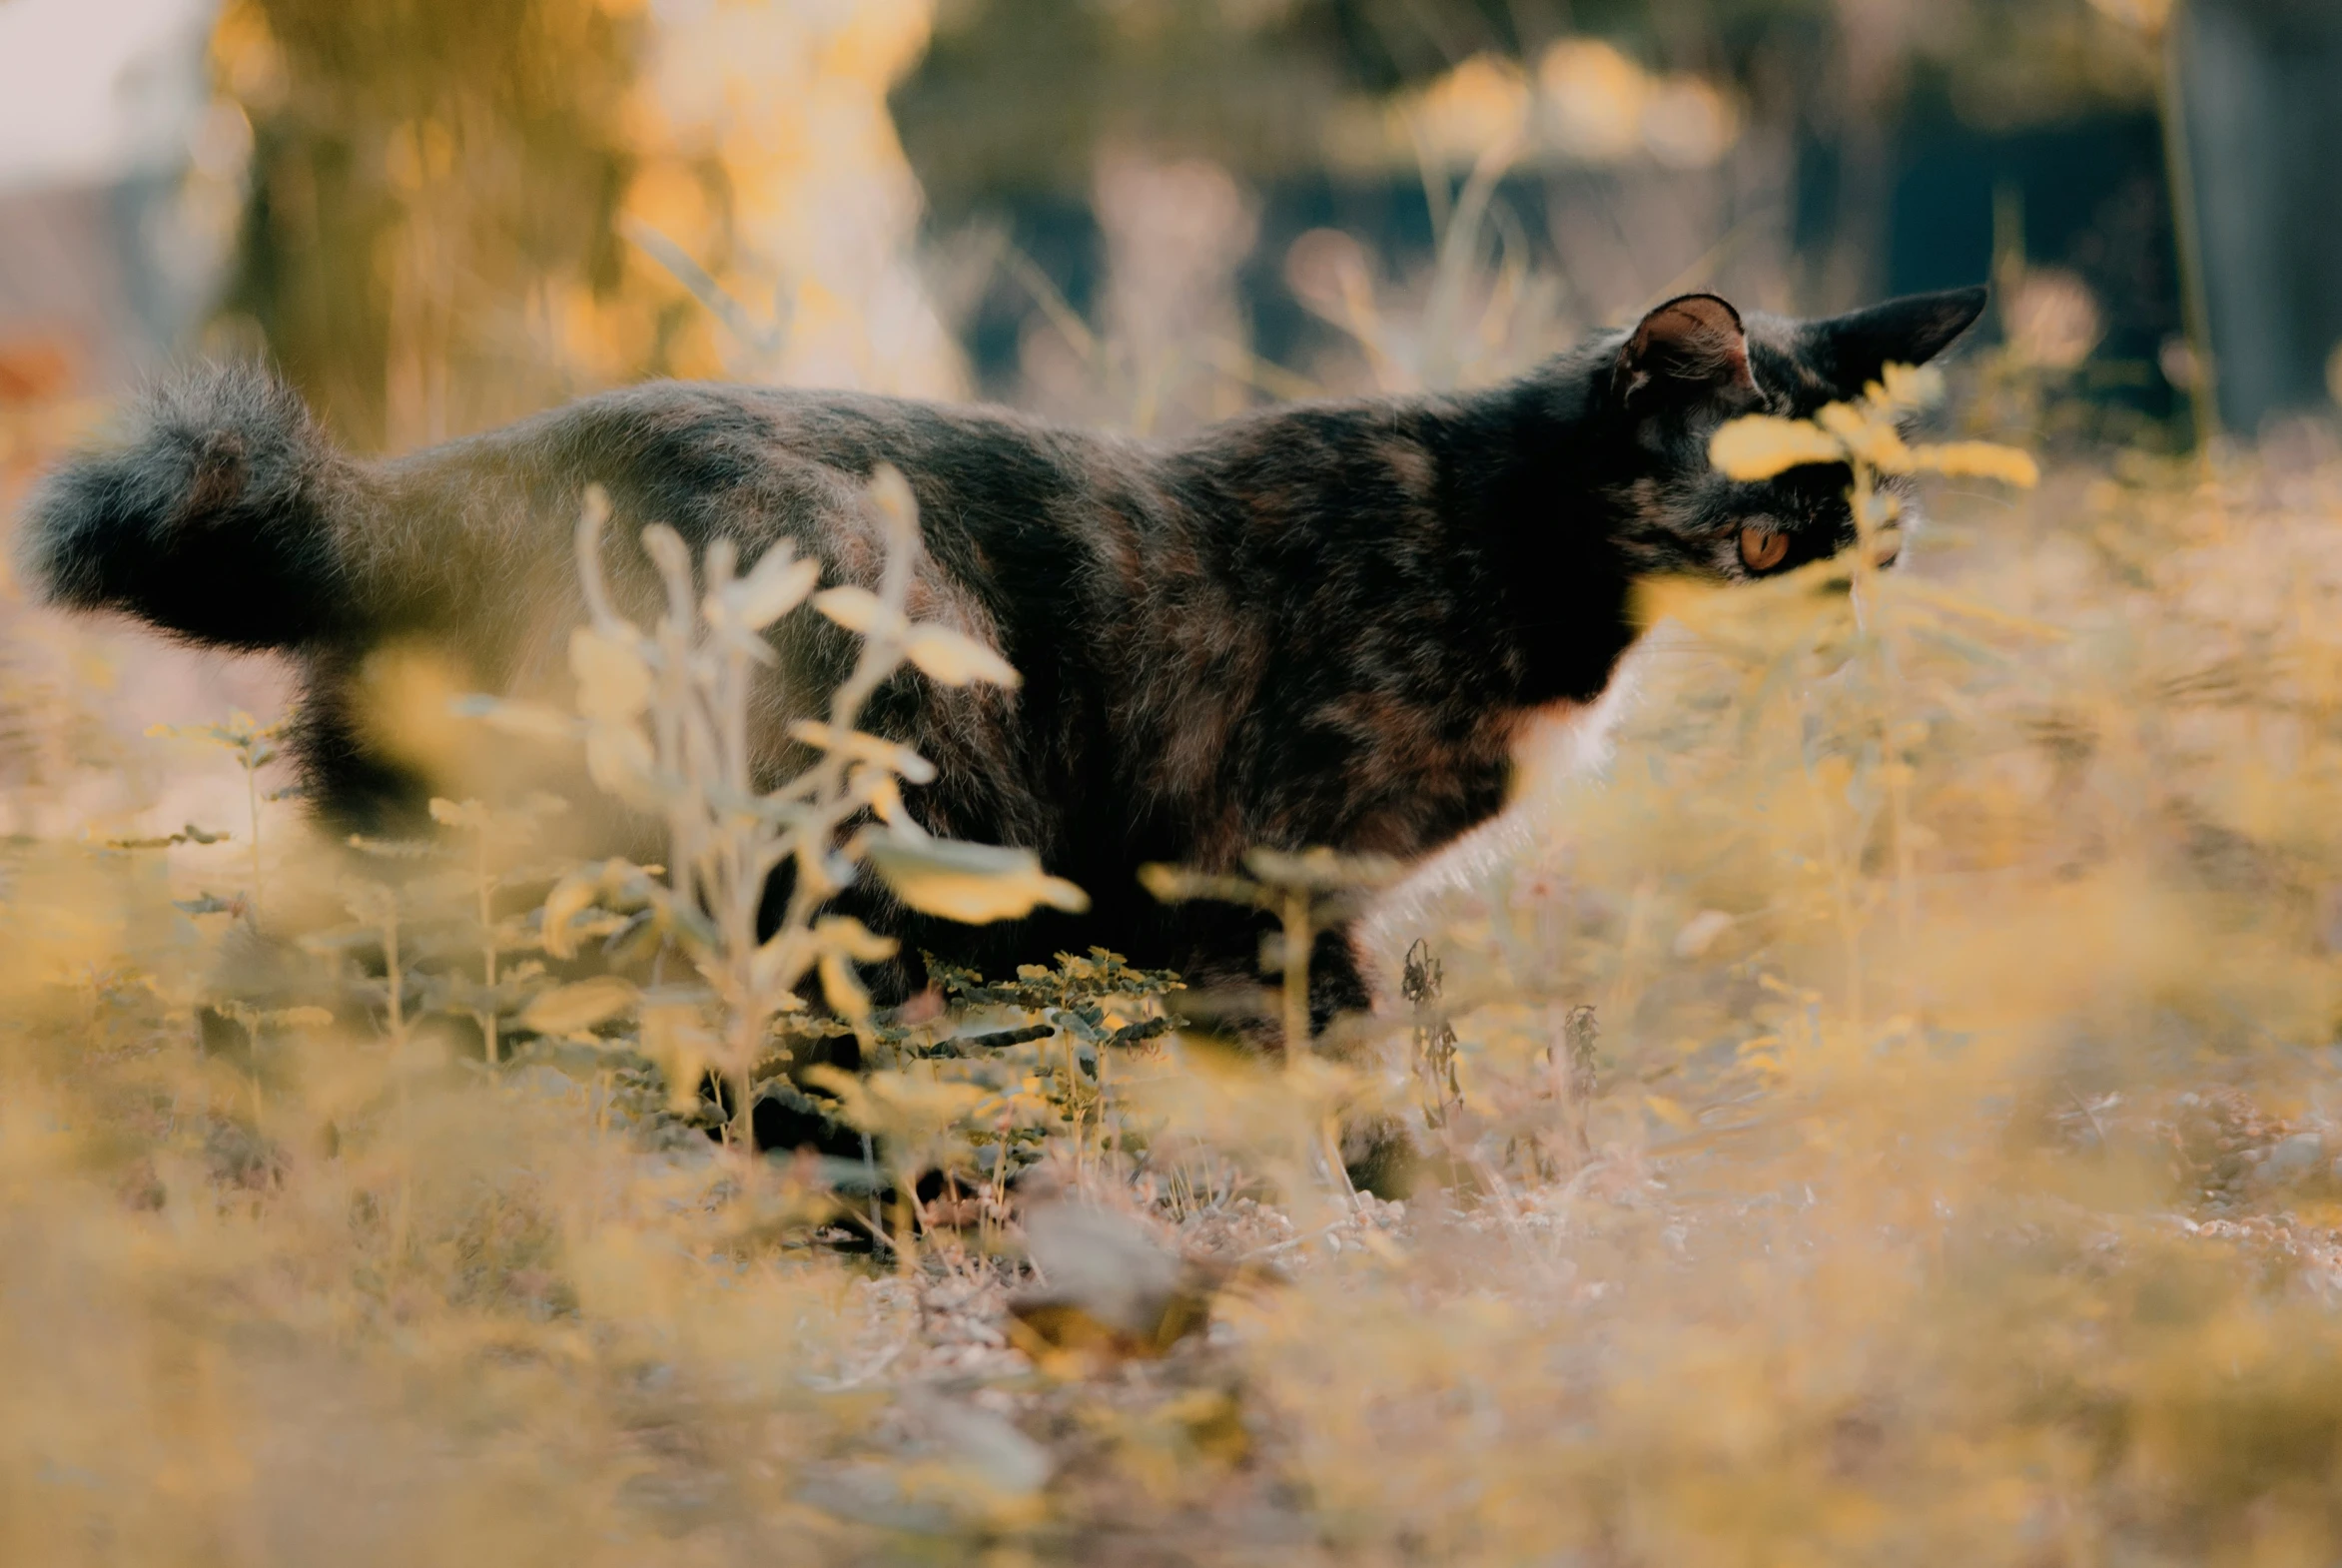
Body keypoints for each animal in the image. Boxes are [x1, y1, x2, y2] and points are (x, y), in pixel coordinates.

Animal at [22, 287, 1994, 1039]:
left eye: (1877, 529)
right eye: (1765, 533)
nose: (1846, 605)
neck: (1509, 533)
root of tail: (432, 483)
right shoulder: (1265, 874)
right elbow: (1328, 1026)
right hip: (867, 742)